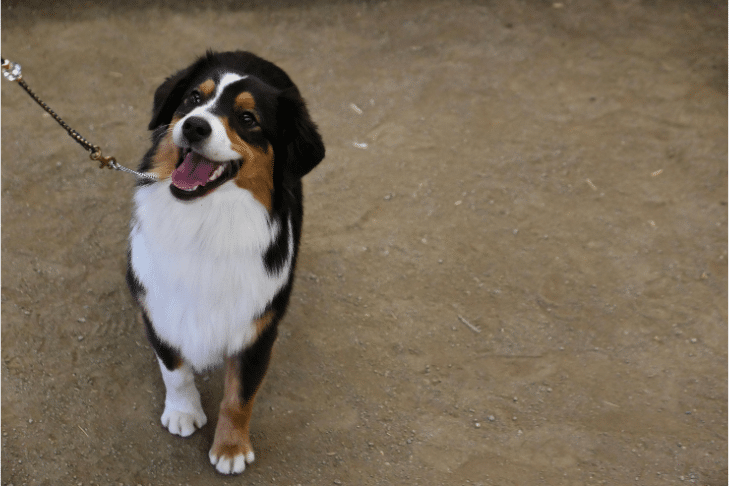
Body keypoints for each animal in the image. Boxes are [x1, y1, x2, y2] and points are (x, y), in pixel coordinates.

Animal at [126, 50, 324, 474]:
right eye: (192, 99)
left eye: (248, 118)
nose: (194, 125)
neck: (206, 221)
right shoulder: (157, 306)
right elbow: (175, 369)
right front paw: (183, 413)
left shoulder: (257, 328)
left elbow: (239, 397)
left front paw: (231, 448)